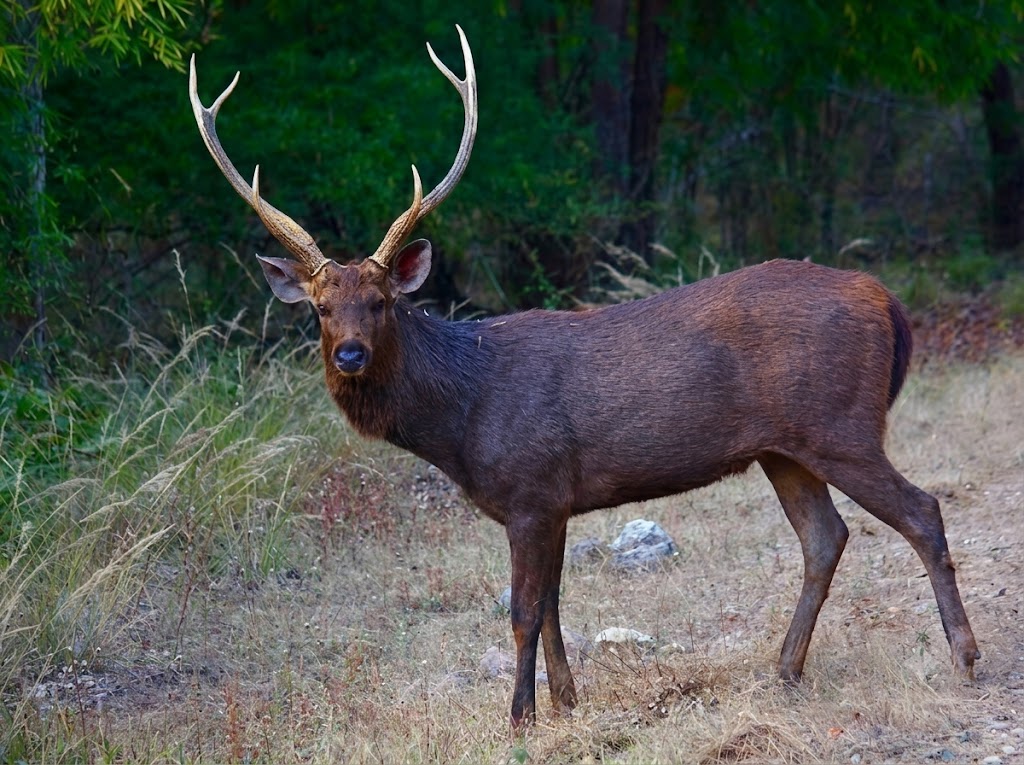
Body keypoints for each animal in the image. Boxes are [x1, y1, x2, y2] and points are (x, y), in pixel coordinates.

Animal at [189, 25, 980, 728]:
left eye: (381, 301)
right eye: (321, 309)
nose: (350, 354)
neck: (461, 419)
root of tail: (886, 302)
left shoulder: (531, 488)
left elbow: (521, 610)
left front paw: (519, 717)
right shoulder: (556, 499)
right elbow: (554, 604)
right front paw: (567, 701)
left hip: (841, 423)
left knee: (922, 511)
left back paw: (964, 657)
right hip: (784, 448)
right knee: (825, 536)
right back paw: (783, 670)